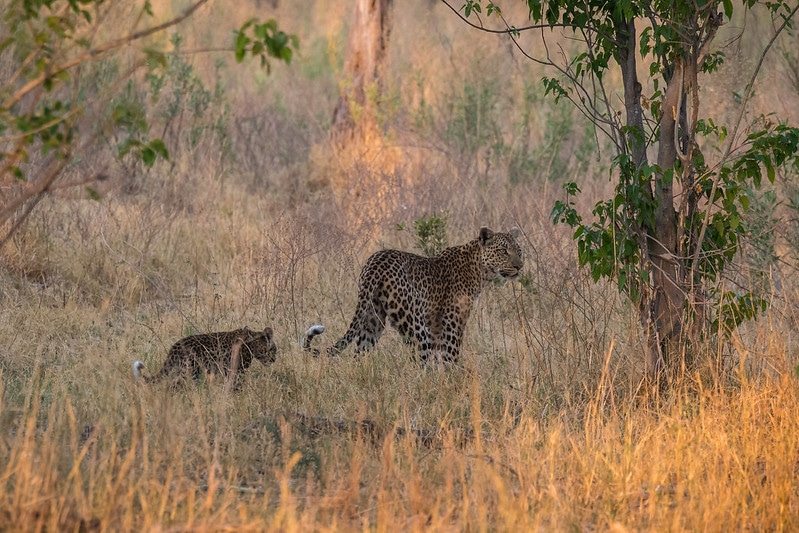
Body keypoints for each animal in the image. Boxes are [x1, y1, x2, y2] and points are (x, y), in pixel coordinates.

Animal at [304, 224, 520, 362]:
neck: (480, 270)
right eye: (503, 251)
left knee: (360, 353)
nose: (520, 265)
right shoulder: (451, 326)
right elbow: (450, 358)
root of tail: (376, 261)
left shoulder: (436, 327)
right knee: (421, 361)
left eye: (519, 250)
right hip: (413, 323)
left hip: (372, 318)